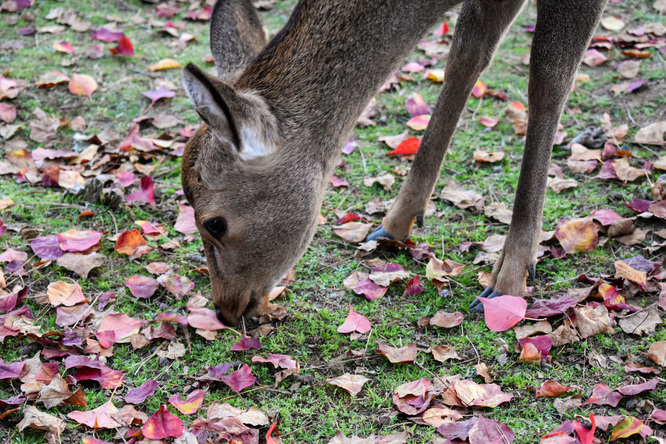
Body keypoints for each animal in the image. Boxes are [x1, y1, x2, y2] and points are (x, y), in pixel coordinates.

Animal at [180, 0, 608, 324]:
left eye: (214, 223)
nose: (224, 309)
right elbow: (466, 54)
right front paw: (394, 223)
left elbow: (548, 77)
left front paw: (510, 279)